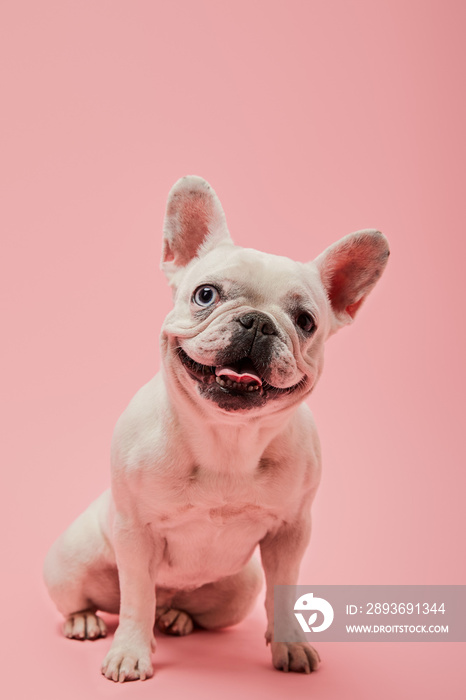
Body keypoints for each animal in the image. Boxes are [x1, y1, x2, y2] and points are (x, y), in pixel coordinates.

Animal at [43, 174, 388, 680]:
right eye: (205, 294)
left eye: (306, 321)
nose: (259, 322)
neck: (228, 438)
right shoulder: (134, 533)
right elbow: (136, 599)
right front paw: (130, 651)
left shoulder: (291, 533)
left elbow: (284, 592)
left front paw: (289, 642)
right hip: (72, 562)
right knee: (95, 599)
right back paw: (85, 620)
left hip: (238, 590)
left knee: (188, 606)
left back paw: (177, 616)